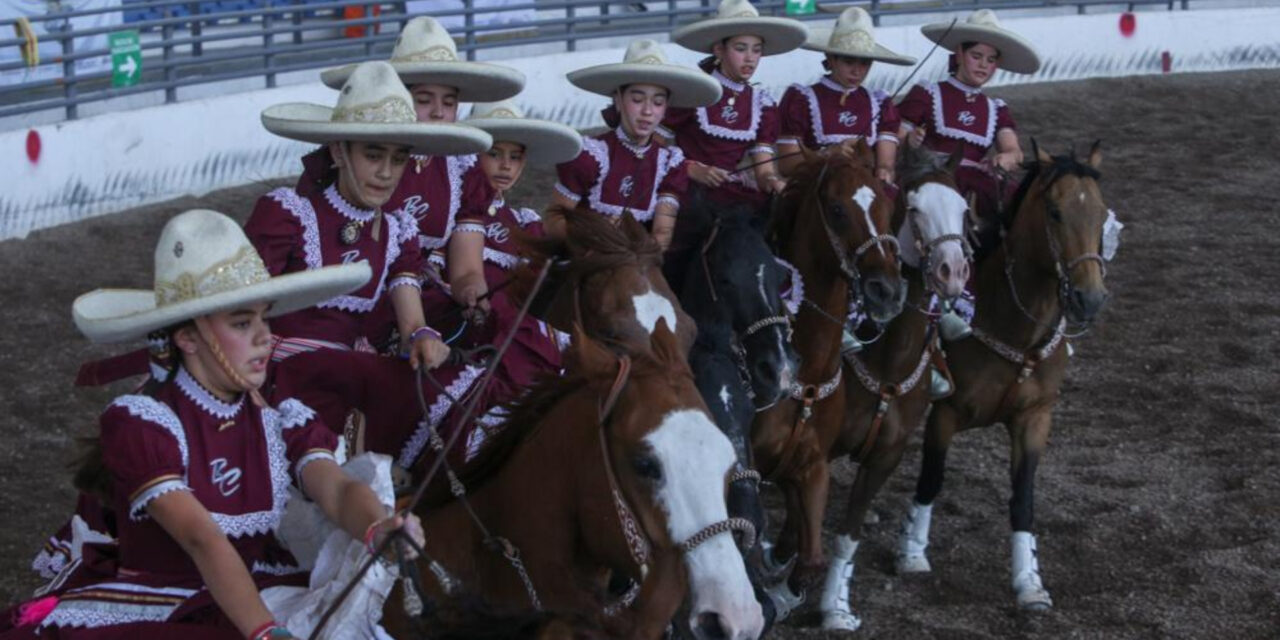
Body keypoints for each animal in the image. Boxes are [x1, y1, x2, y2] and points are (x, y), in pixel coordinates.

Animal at [890, 142, 1111, 611]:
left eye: (1101, 214)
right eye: (1055, 212)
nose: (1090, 298)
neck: (1013, 325)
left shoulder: (1035, 418)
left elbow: (1023, 499)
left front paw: (1029, 583)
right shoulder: (946, 413)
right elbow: (931, 479)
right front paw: (912, 553)